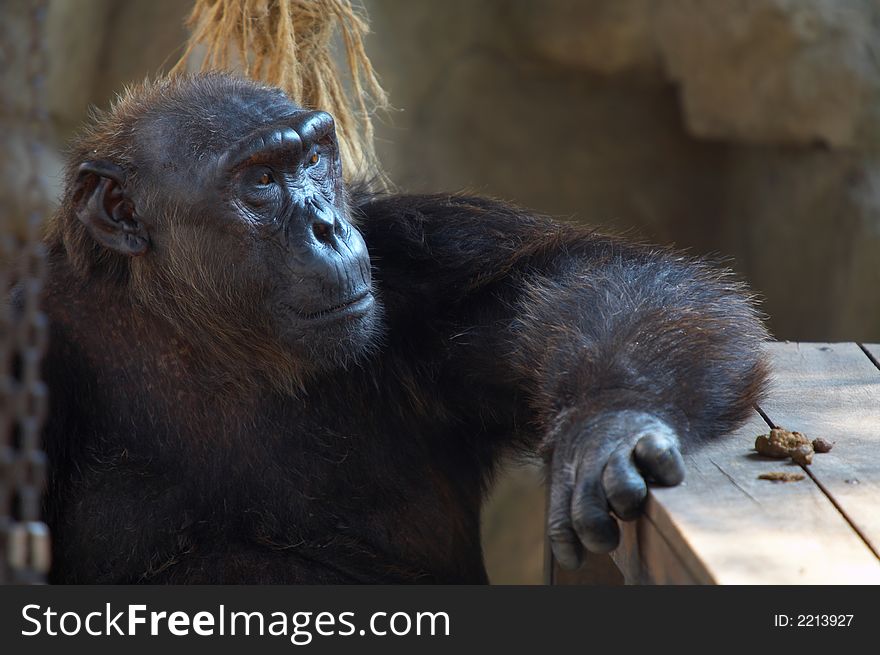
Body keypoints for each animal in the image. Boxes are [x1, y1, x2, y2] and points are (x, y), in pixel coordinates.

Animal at [37, 73, 768, 584]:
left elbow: (593, 275)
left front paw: (610, 425)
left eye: (314, 160)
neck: (209, 337)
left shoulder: (428, 259)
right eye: (262, 179)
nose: (326, 226)